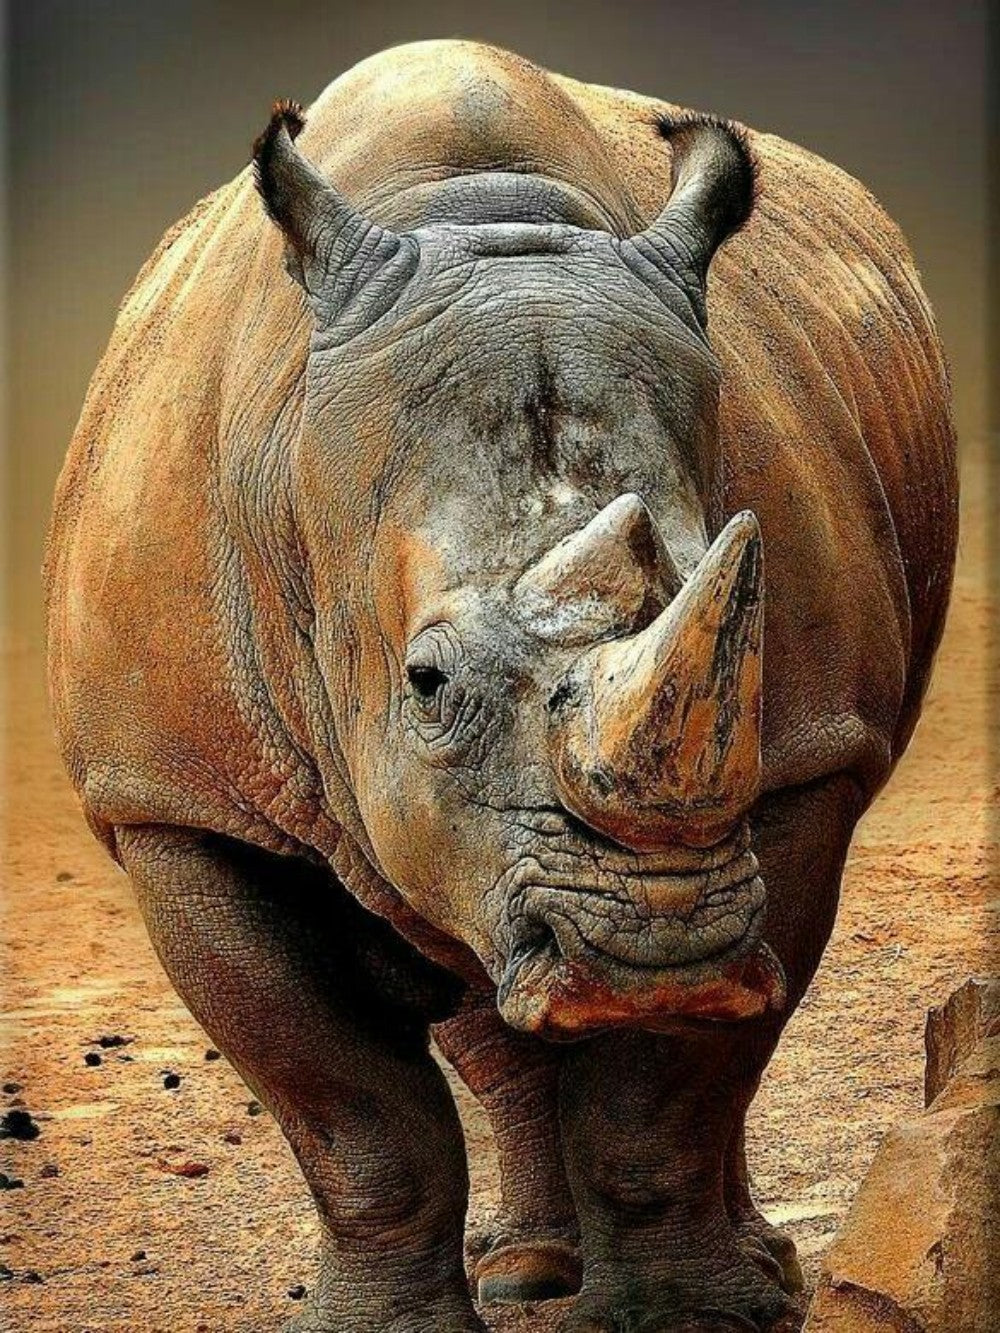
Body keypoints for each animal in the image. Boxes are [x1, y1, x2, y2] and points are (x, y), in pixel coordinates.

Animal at [45, 40, 957, 1333]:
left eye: (751, 610)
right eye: (424, 682)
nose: (650, 946)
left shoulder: (804, 756)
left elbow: (667, 1091)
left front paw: (681, 1318)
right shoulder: (174, 796)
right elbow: (351, 1114)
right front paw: (386, 1327)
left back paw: (741, 1270)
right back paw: (527, 1268)